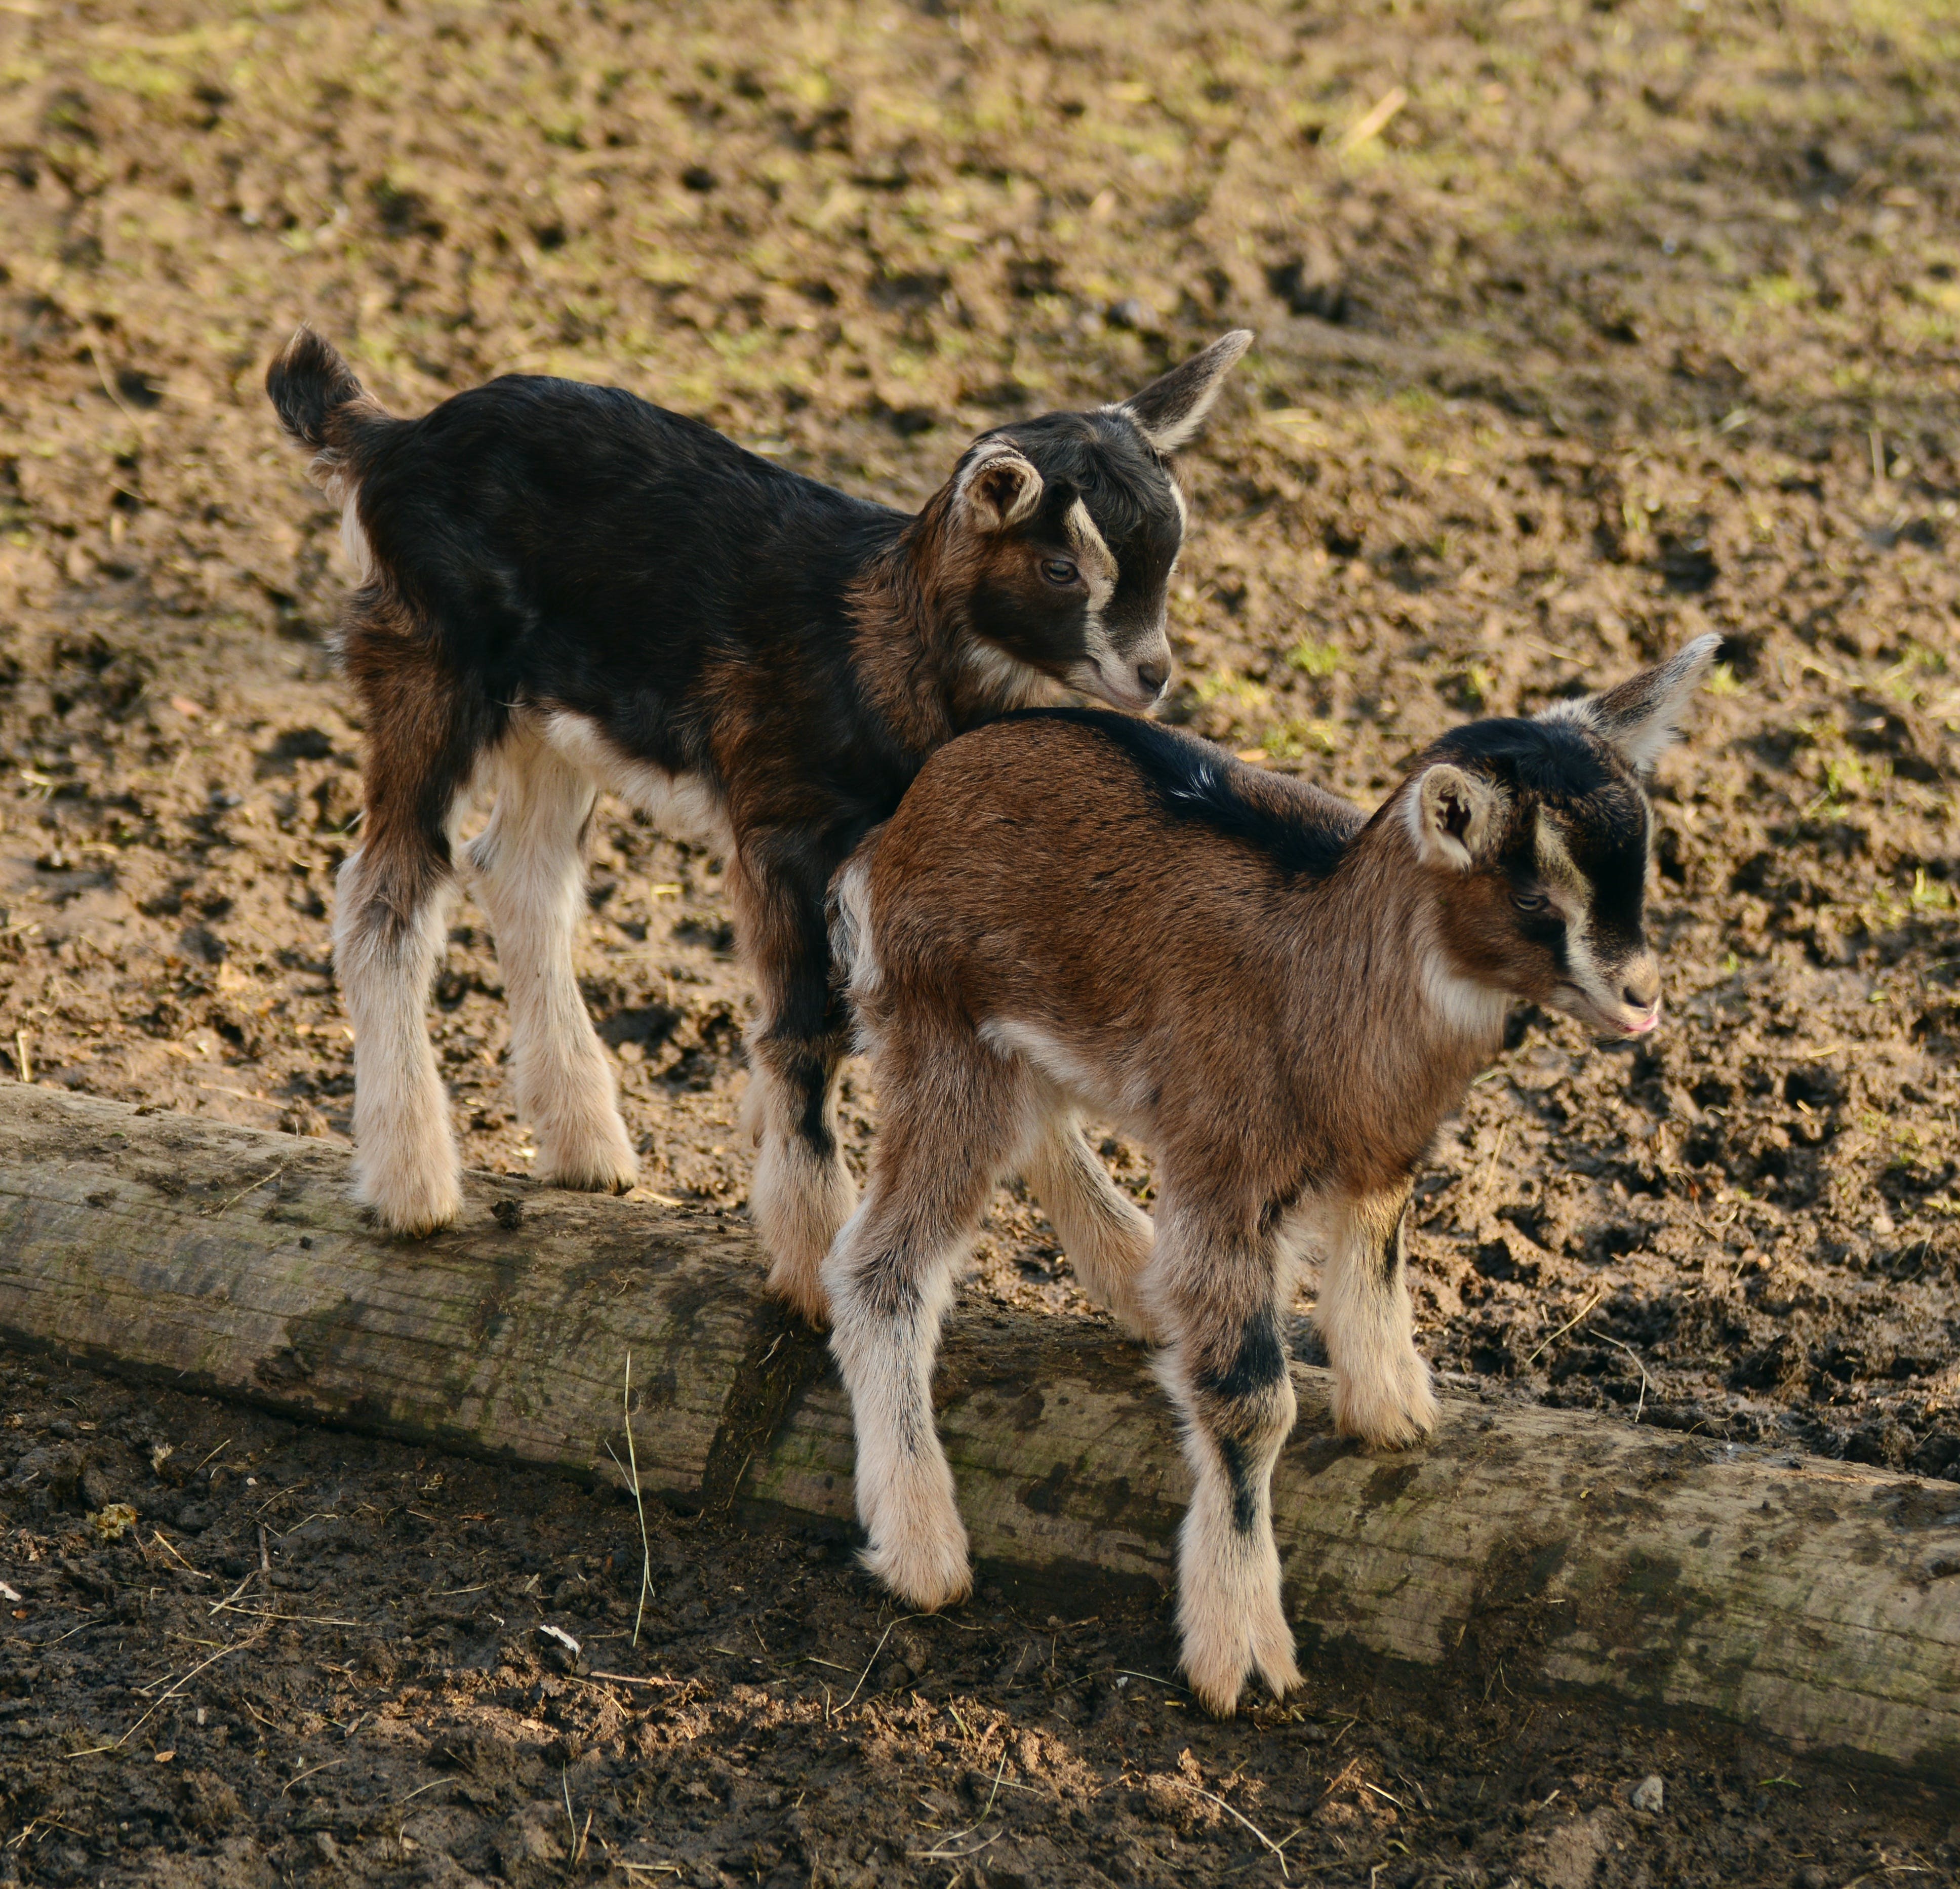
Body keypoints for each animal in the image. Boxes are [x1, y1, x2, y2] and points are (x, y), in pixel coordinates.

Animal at [264, 326, 1252, 1311]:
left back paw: (585, 1145)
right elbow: (807, 1030)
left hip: (553, 716)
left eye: (1168, 556)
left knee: (520, 873)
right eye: (1060, 568)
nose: (1151, 675)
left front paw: (1128, 1273)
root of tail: (390, 438)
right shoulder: (783, 832)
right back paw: (412, 1186)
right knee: (386, 891)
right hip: (426, 660)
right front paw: (812, 1261)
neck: (875, 651)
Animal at [821, 636, 1720, 1715]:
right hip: (941, 1029)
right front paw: (1241, 1649)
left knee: (1038, 1128)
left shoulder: (1378, 1153)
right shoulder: (1226, 1172)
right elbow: (1251, 1399)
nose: (1642, 998)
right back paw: (922, 1547)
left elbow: (1374, 1261)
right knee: (880, 1268)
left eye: (1640, 871)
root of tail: (903, 819)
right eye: (1535, 897)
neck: (1321, 972)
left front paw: (1393, 1413)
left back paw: (1135, 1285)